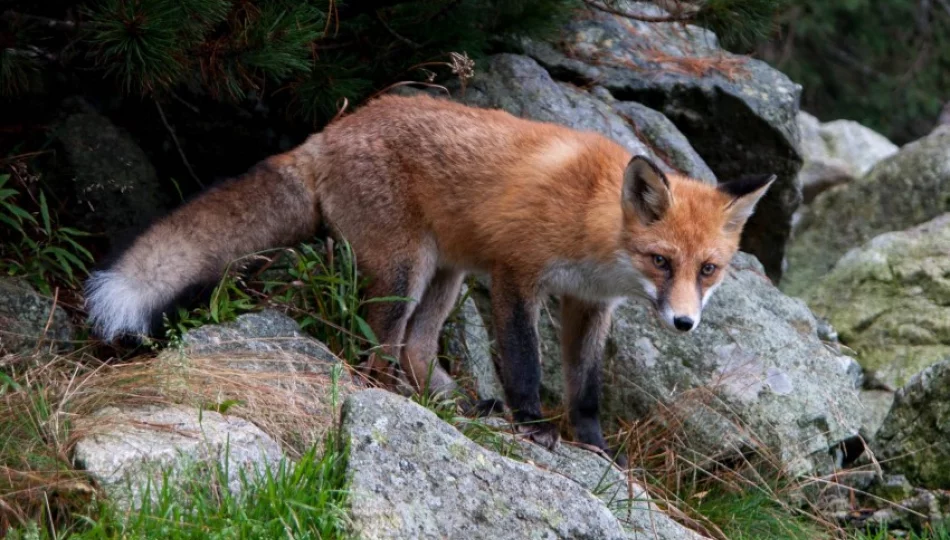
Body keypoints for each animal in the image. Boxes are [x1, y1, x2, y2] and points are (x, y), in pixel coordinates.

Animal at [85, 92, 776, 460]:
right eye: (661, 261)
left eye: (708, 269)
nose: (685, 324)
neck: (593, 222)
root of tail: (328, 132)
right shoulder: (516, 276)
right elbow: (524, 362)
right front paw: (533, 425)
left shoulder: (589, 305)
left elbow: (586, 386)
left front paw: (592, 443)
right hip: (407, 270)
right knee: (375, 346)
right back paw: (395, 397)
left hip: (446, 276)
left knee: (415, 349)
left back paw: (448, 401)